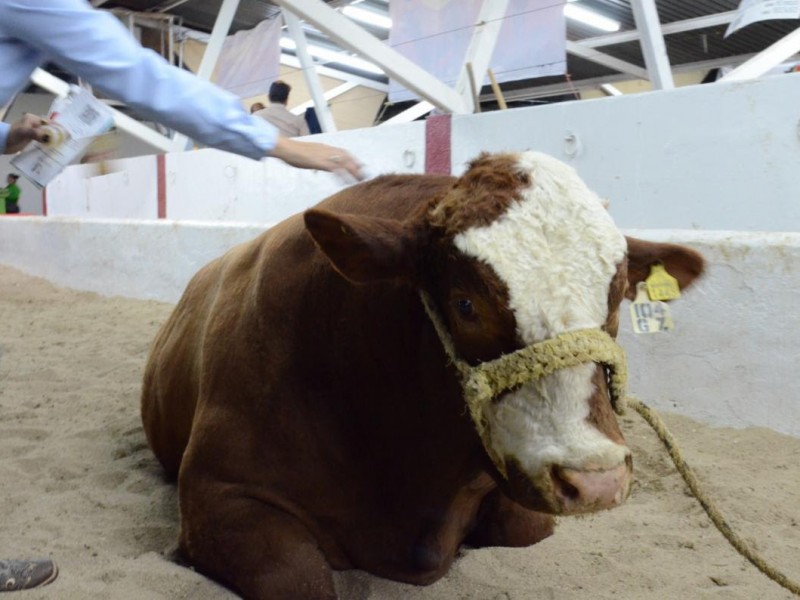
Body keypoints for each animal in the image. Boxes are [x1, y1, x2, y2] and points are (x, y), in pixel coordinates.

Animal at [141, 151, 704, 600]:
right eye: (465, 304)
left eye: (616, 295)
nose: (595, 480)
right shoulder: (218, 493)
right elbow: (299, 579)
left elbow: (526, 528)